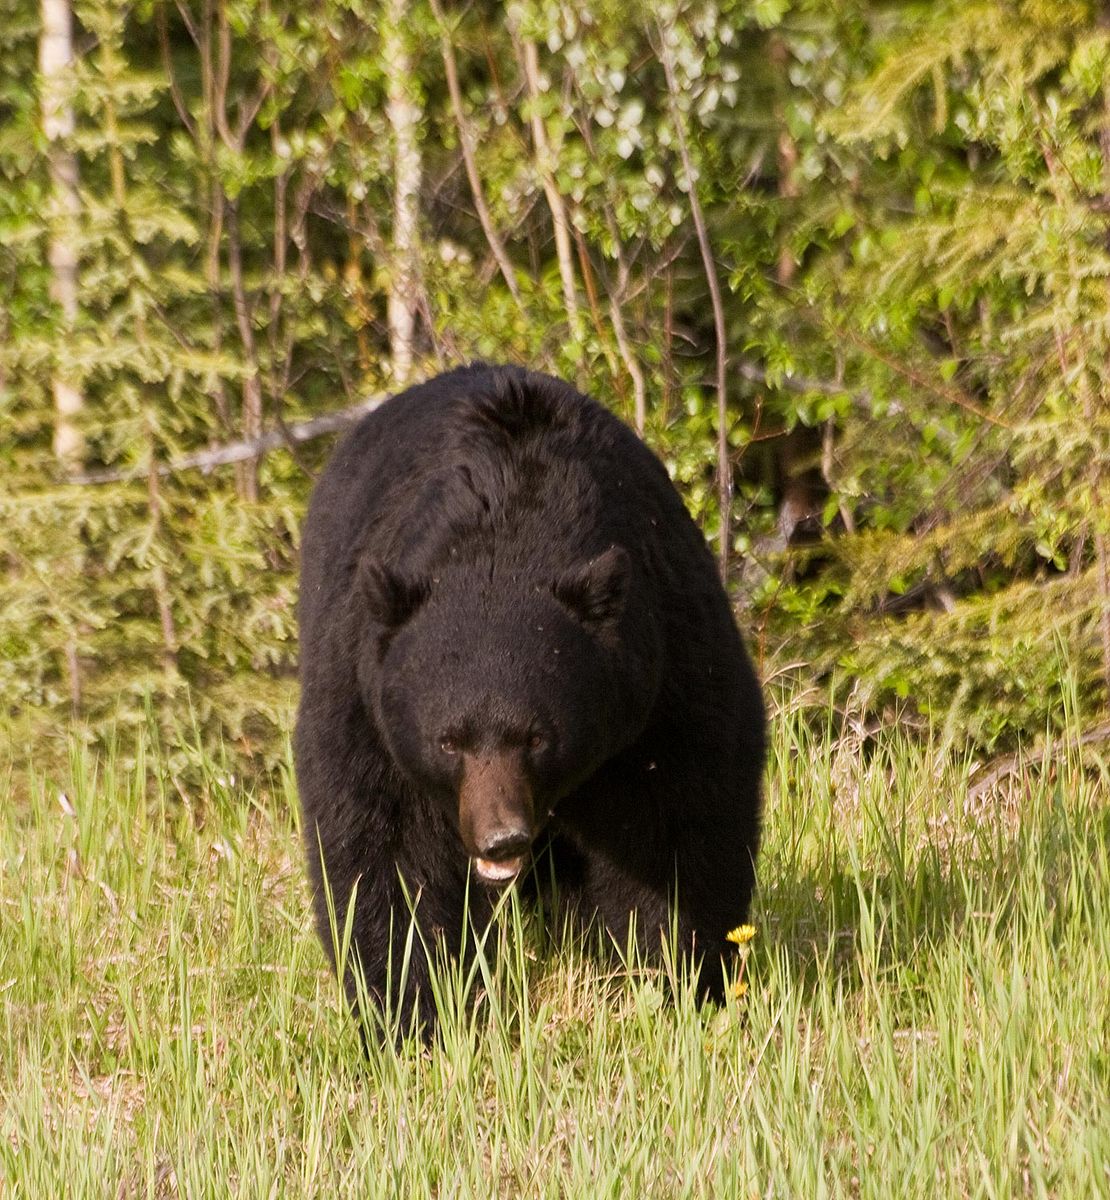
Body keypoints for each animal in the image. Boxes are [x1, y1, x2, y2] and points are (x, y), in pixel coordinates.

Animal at [294, 363, 765, 1039]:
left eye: (538, 736)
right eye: (450, 740)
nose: (502, 839)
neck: (509, 533)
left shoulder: (663, 674)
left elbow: (679, 823)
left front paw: (679, 979)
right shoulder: (363, 695)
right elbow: (387, 851)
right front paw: (411, 1014)